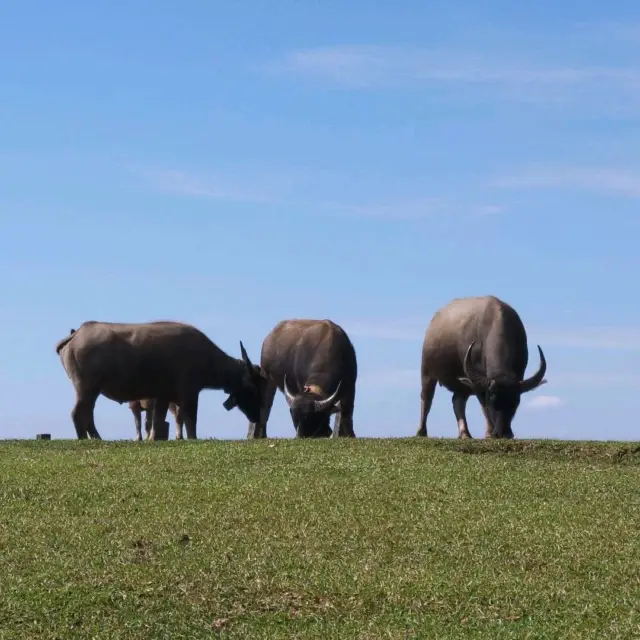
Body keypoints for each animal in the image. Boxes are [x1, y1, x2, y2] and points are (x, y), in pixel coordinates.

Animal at [55, 320, 264, 440]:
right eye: (253, 390)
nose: (257, 417)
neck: (207, 356)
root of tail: (77, 333)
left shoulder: (163, 397)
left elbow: (157, 420)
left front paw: (154, 437)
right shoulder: (190, 394)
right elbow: (191, 419)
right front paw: (193, 438)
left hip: (90, 390)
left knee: (87, 413)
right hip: (87, 388)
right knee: (78, 413)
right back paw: (85, 438)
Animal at [418, 296, 548, 440]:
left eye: (516, 400)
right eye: (491, 398)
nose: (504, 433)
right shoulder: (477, 383)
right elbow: (484, 407)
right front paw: (489, 433)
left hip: (461, 384)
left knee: (457, 402)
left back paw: (465, 434)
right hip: (427, 371)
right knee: (426, 399)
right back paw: (421, 431)